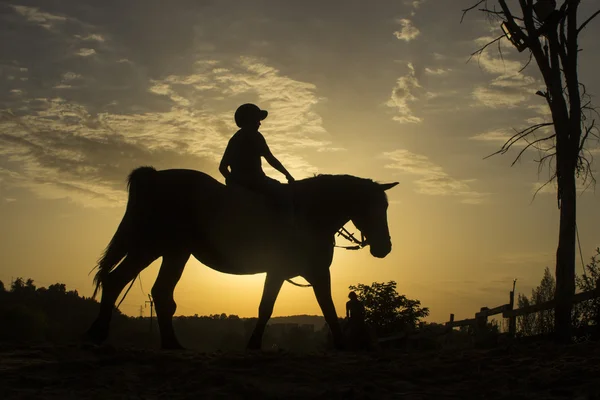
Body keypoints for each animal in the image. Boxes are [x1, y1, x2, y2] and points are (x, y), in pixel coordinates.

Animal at [85, 166, 398, 350]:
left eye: (386, 207)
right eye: (371, 207)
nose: (384, 248)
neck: (309, 213)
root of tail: (155, 176)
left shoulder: (311, 272)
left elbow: (324, 308)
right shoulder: (297, 271)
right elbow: (273, 307)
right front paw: (255, 343)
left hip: (171, 251)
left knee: (152, 291)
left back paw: (168, 343)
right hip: (153, 247)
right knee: (121, 282)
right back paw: (102, 333)